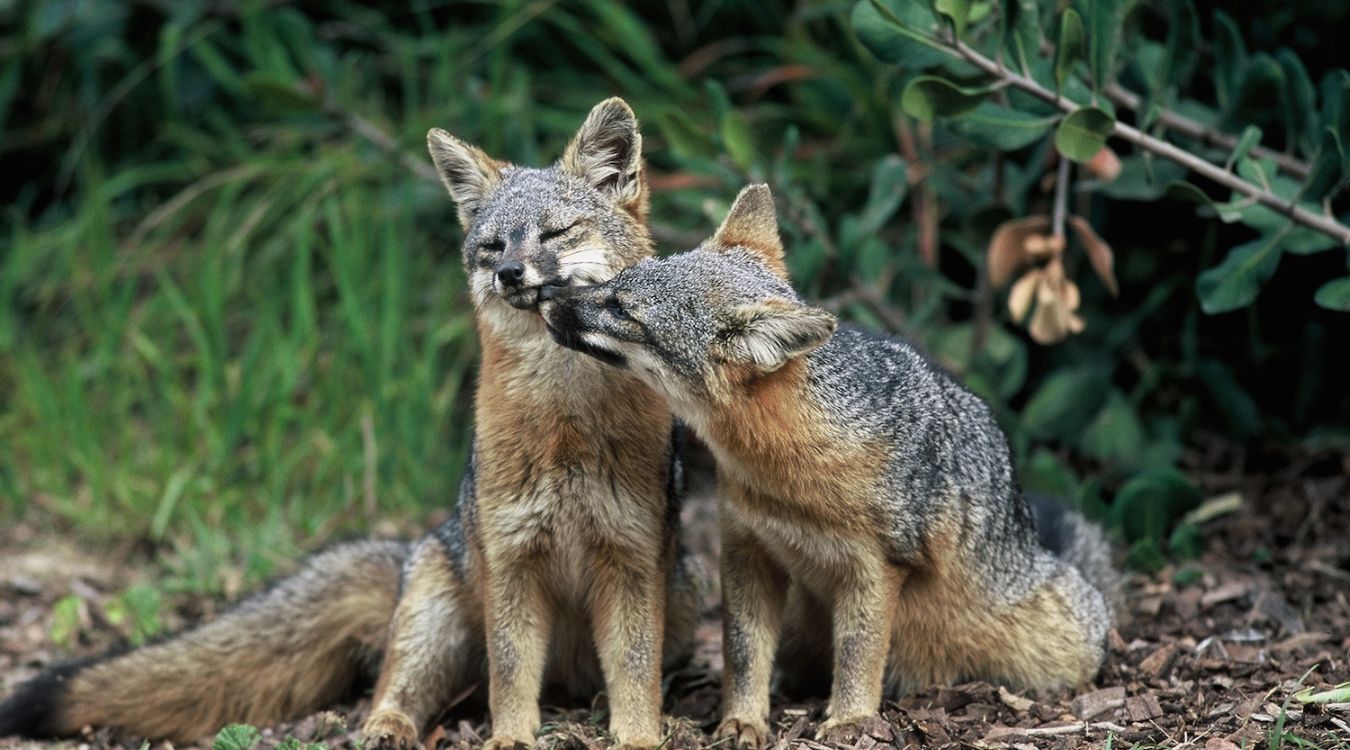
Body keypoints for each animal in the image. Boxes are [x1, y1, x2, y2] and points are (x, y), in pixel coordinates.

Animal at [0, 98, 702, 750]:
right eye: (493, 247)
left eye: (556, 234)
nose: (509, 274)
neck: (565, 425)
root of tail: (422, 543)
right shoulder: (513, 563)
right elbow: (509, 679)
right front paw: (509, 738)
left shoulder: (631, 561)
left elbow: (634, 676)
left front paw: (639, 737)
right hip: (437, 623)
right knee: (402, 690)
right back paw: (386, 727)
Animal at [539, 184, 1119, 748]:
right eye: (613, 282)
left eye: (623, 310)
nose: (545, 296)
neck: (787, 478)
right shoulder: (746, 547)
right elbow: (742, 653)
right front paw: (742, 721)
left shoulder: (877, 567)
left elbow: (860, 653)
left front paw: (849, 721)